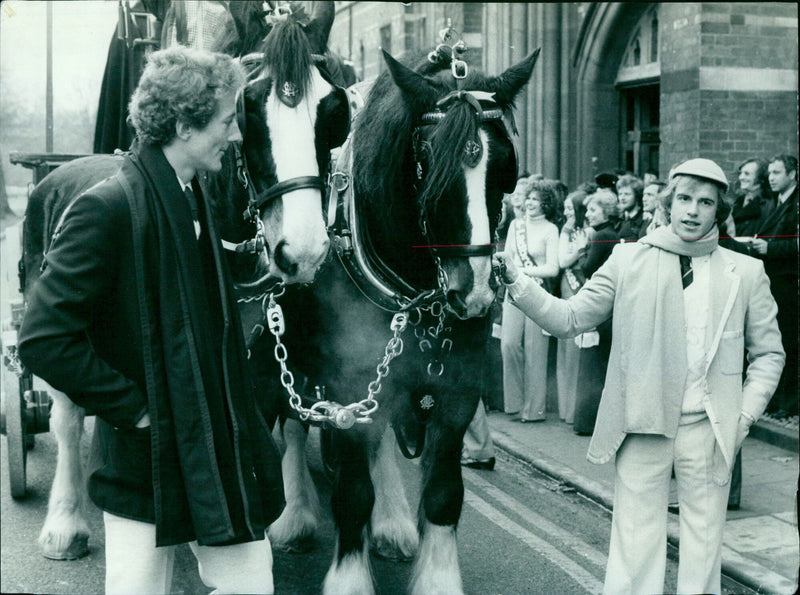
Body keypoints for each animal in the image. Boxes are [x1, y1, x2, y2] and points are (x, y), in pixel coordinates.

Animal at [266, 43, 540, 595]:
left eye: (506, 164)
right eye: (426, 163)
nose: (474, 292)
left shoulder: (458, 389)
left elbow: (443, 494)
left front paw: (435, 575)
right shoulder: (346, 381)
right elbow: (352, 495)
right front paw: (349, 578)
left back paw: (392, 521)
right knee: (293, 426)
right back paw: (296, 516)